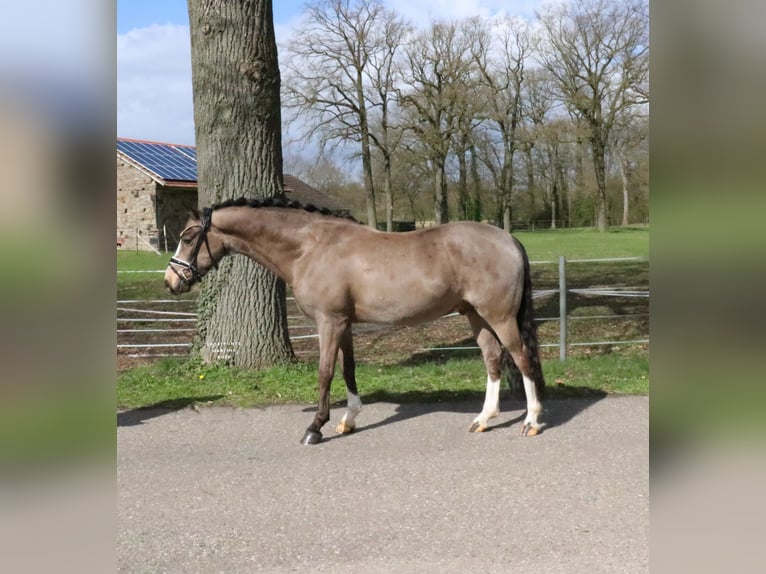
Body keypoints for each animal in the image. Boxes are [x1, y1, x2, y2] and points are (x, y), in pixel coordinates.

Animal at [164, 197, 545, 445]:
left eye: (187, 237)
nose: (171, 281)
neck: (310, 248)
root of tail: (508, 239)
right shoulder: (344, 324)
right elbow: (348, 371)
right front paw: (348, 420)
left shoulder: (328, 322)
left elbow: (325, 373)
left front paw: (314, 428)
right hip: (475, 316)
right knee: (493, 360)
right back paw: (483, 420)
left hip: (499, 316)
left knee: (522, 358)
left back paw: (531, 421)